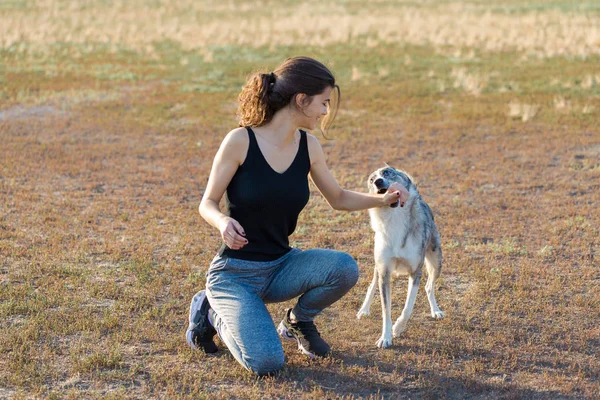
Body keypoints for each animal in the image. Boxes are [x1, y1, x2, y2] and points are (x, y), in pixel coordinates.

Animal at [356, 166, 446, 346]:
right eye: (371, 179)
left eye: (387, 172)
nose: (378, 182)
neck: (394, 217)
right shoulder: (384, 272)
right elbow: (386, 311)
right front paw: (385, 338)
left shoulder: (416, 272)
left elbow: (408, 307)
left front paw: (398, 328)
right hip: (378, 266)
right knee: (372, 285)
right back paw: (364, 309)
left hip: (436, 262)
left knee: (429, 286)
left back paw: (436, 310)